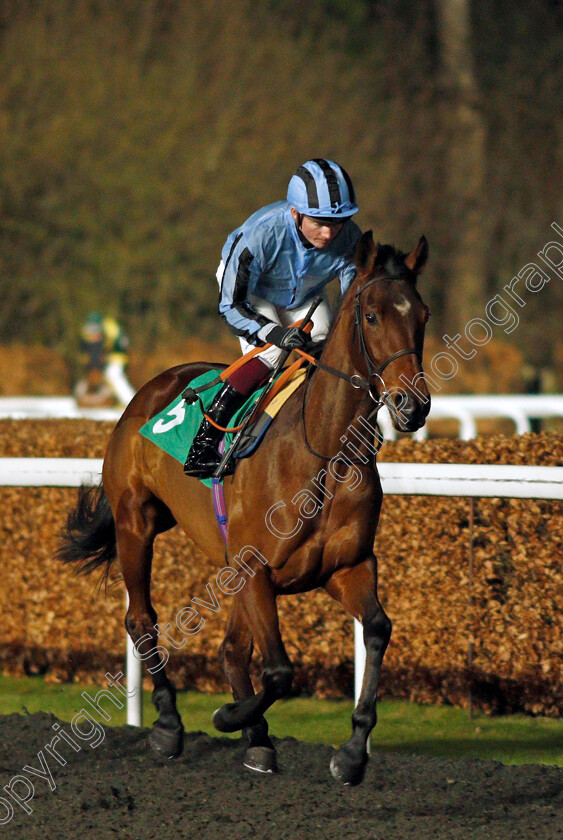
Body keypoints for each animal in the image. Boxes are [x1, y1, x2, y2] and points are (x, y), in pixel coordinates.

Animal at [58, 226, 432, 784]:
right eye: (371, 316)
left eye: (423, 315)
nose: (414, 405)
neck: (324, 451)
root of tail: (153, 386)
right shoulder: (257, 569)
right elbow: (278, 671)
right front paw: (227, 716)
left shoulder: (347, 567)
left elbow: (377, 630)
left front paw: (350, 753)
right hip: (135, 523)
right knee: (141, 620)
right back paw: (169, 725)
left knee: (232, 648)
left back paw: (256, 741)